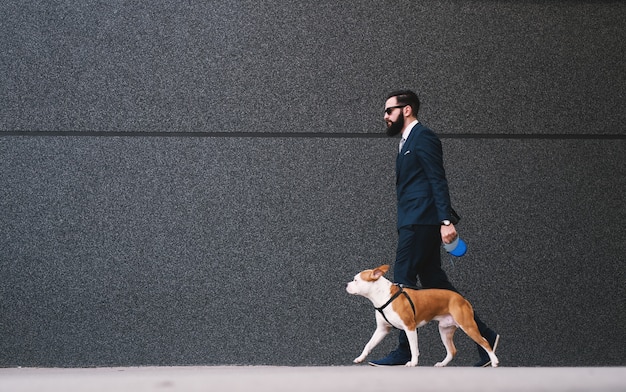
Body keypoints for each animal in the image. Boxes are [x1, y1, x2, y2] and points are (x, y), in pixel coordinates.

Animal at [346, 264, 498, 366]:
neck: (383, 295)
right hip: (445, 330)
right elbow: (368, 344)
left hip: (467, 325)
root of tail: (462, 299)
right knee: (452, 350)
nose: (346, 284)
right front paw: (360, 358)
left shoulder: (410, 327)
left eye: (356, 280)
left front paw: (413, 362)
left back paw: (494, 361)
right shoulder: (382, 329)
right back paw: (442, 364)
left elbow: (413, 347)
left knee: (484, 341)